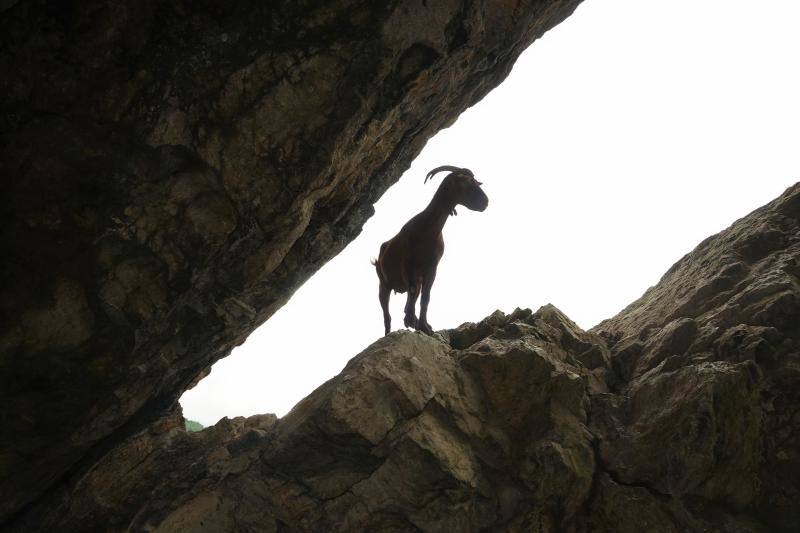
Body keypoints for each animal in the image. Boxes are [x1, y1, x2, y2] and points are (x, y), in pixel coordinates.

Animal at [370, 164, 488, 334]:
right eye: (466, 182)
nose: (485, 202)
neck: (428, 231)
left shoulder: (432, 268)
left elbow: (425, 297)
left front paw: (423, 326)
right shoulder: (408, 265)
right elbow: (414, 293)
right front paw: (411, 321)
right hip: (383, 283)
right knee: (387, 314)